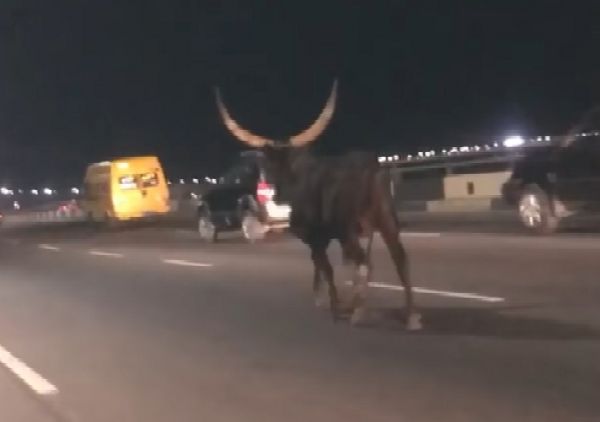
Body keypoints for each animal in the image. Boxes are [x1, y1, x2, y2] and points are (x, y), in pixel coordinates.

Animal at [214, 79, 422, 330]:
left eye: (269, 164)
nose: (271, 189)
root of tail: (370, 167)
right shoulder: (322, 238)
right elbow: (323, 267)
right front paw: (324, 299)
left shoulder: (313, 237)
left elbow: (326, 268)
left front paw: (333, 307)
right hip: (387, 221)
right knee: (399, 259)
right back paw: (411, 316)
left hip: (349, 230)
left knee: (364, 262)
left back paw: (358, 312)